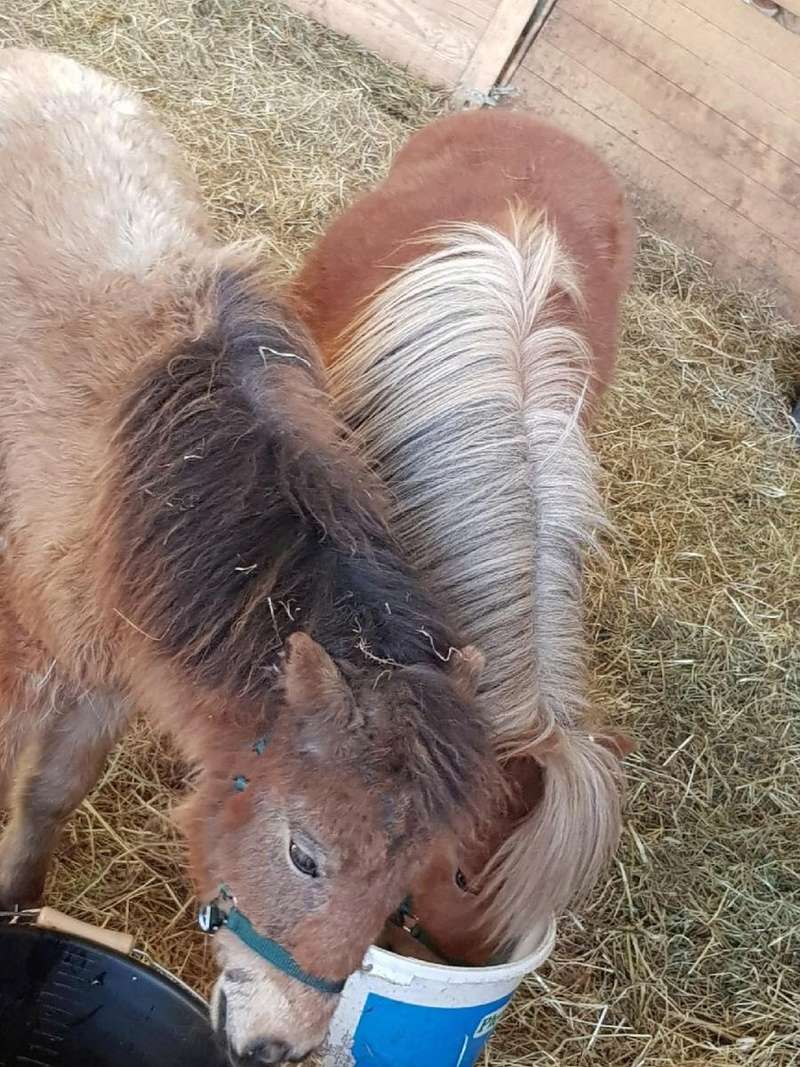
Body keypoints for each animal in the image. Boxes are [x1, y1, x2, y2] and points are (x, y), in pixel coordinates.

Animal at [0, 48, 501, 1058]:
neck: (122, 484)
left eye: (402, 891)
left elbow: (49, 799)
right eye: (305, 853)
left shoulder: (103, 687)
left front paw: (21, 905)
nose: (280, 1045)